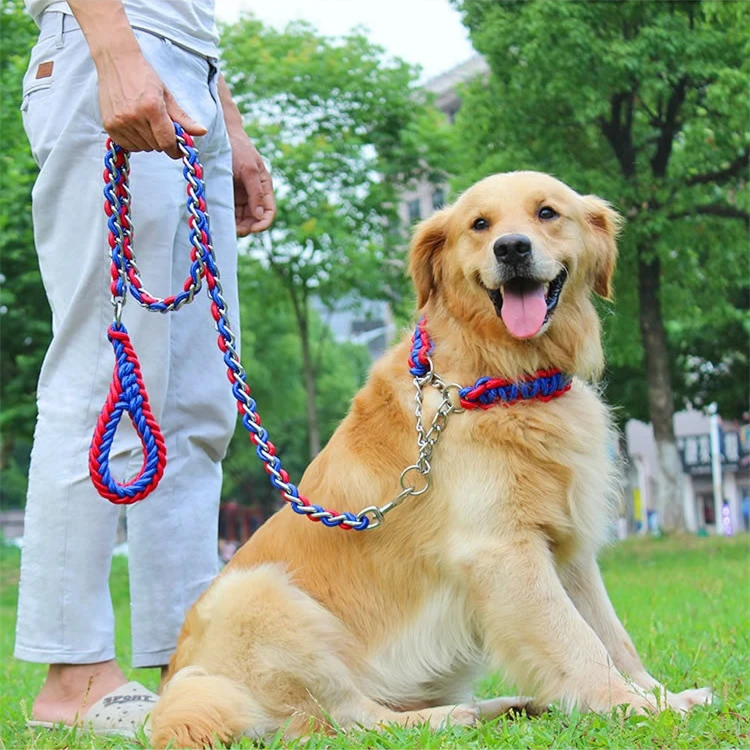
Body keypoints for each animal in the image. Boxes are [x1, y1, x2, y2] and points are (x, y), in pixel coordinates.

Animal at [147, 173, 712, 748]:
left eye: (547, 213)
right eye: (479, 224)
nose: (511, 248)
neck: (505, 378)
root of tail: (173, 697)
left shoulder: (567, 550)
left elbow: (614, 636)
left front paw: (661, 695)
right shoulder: (503, 550)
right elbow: (578, 640)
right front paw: (630, 705)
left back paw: (506, 706)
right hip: (257, 596)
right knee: (350, 718)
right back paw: (452, 717)